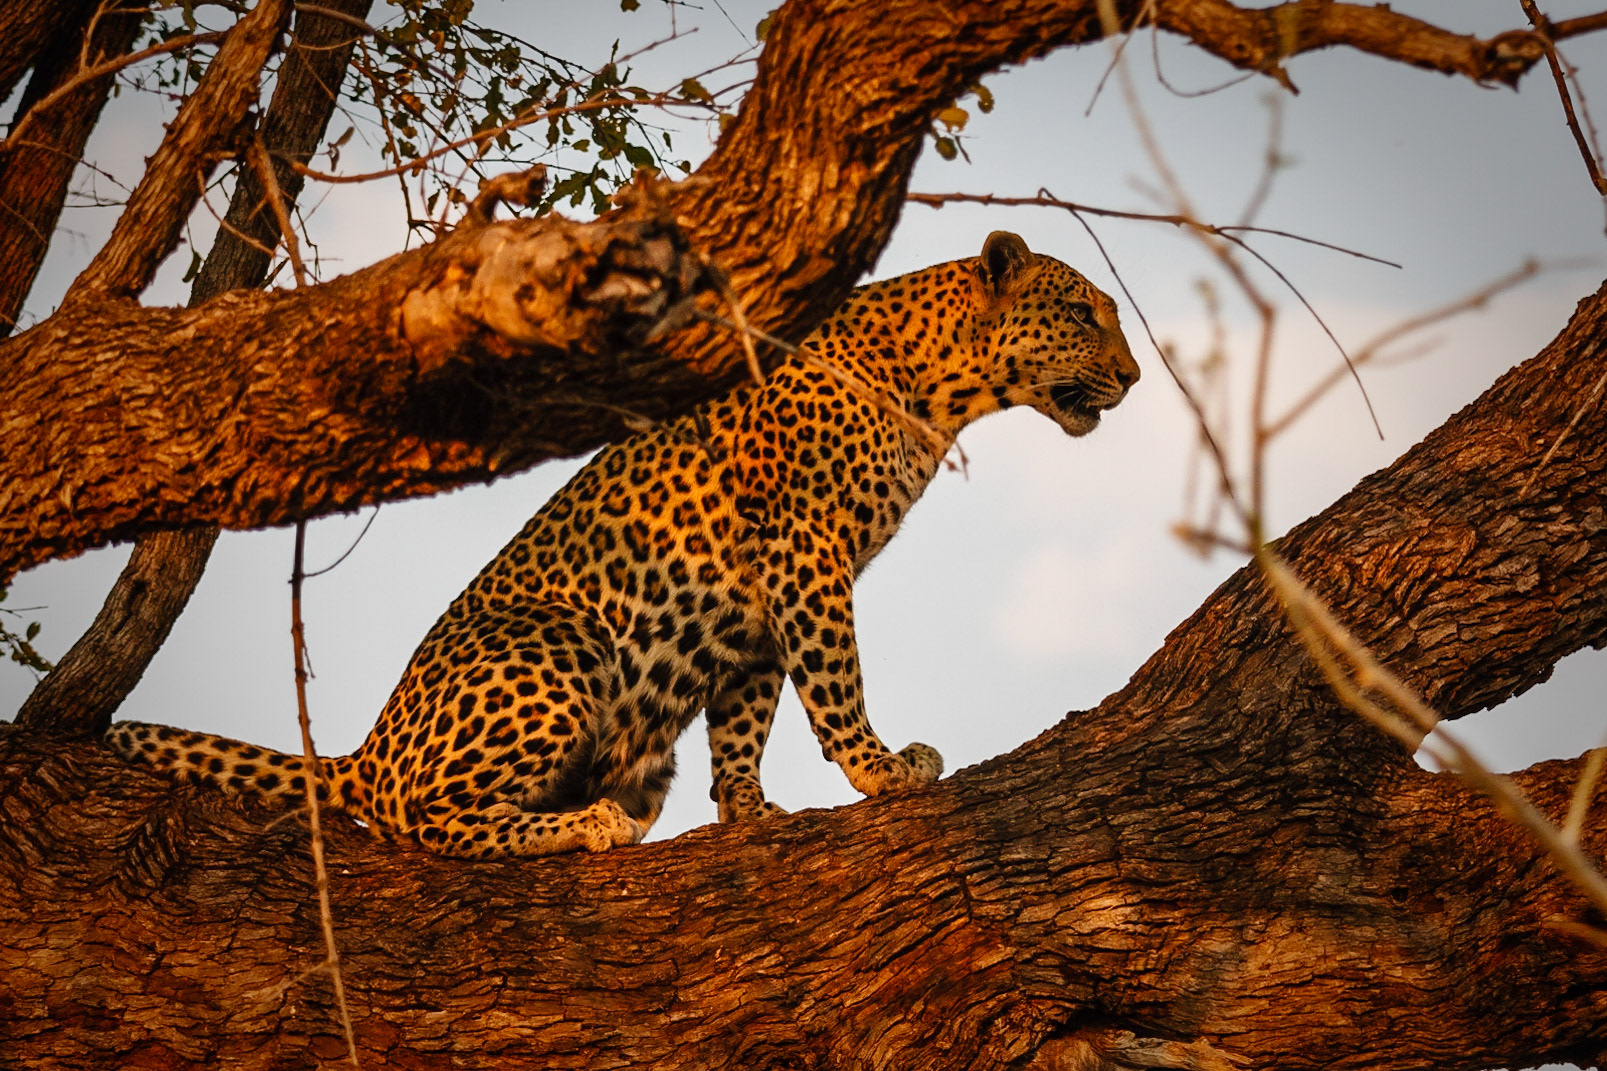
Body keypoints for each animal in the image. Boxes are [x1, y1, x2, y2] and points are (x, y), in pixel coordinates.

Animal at [107, 231, 1139, 858]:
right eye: (1082, 312)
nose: (1133, 376)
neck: (938, 388)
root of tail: (366, 746)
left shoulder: (758, 598)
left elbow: (745, 715)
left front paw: (748, 811)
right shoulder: (807, 550)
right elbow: (833, 677)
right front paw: (879, 769)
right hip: (557, 639)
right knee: (423, 818)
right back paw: (585, 824)